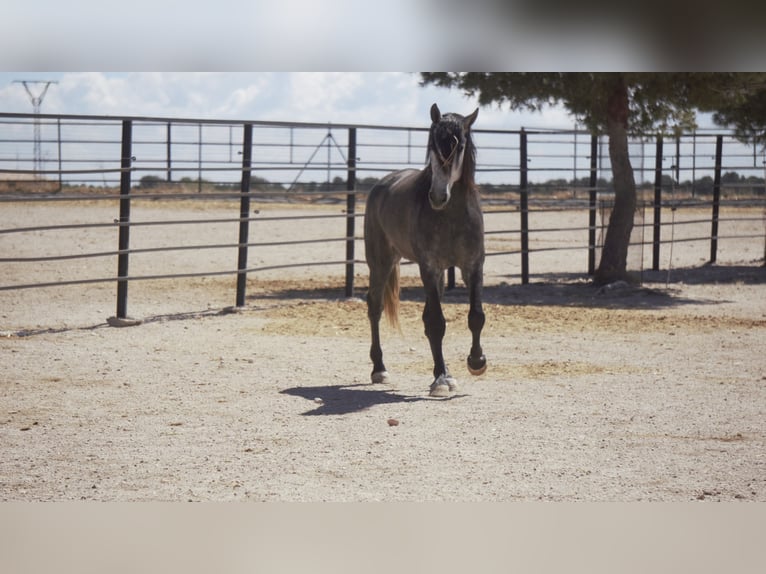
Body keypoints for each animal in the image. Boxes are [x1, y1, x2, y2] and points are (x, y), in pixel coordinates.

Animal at [364, 103, 486, 398]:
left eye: (459, 145)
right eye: (433, 144)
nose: (438, 196)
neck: (452, 214)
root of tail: (383, 184)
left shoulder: (473, 265)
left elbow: (475, 316)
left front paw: (476, 362)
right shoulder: (428, 267)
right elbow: (436, 323)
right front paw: (440, 380)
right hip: (380, 262)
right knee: (374, 307)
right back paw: (379, 369)